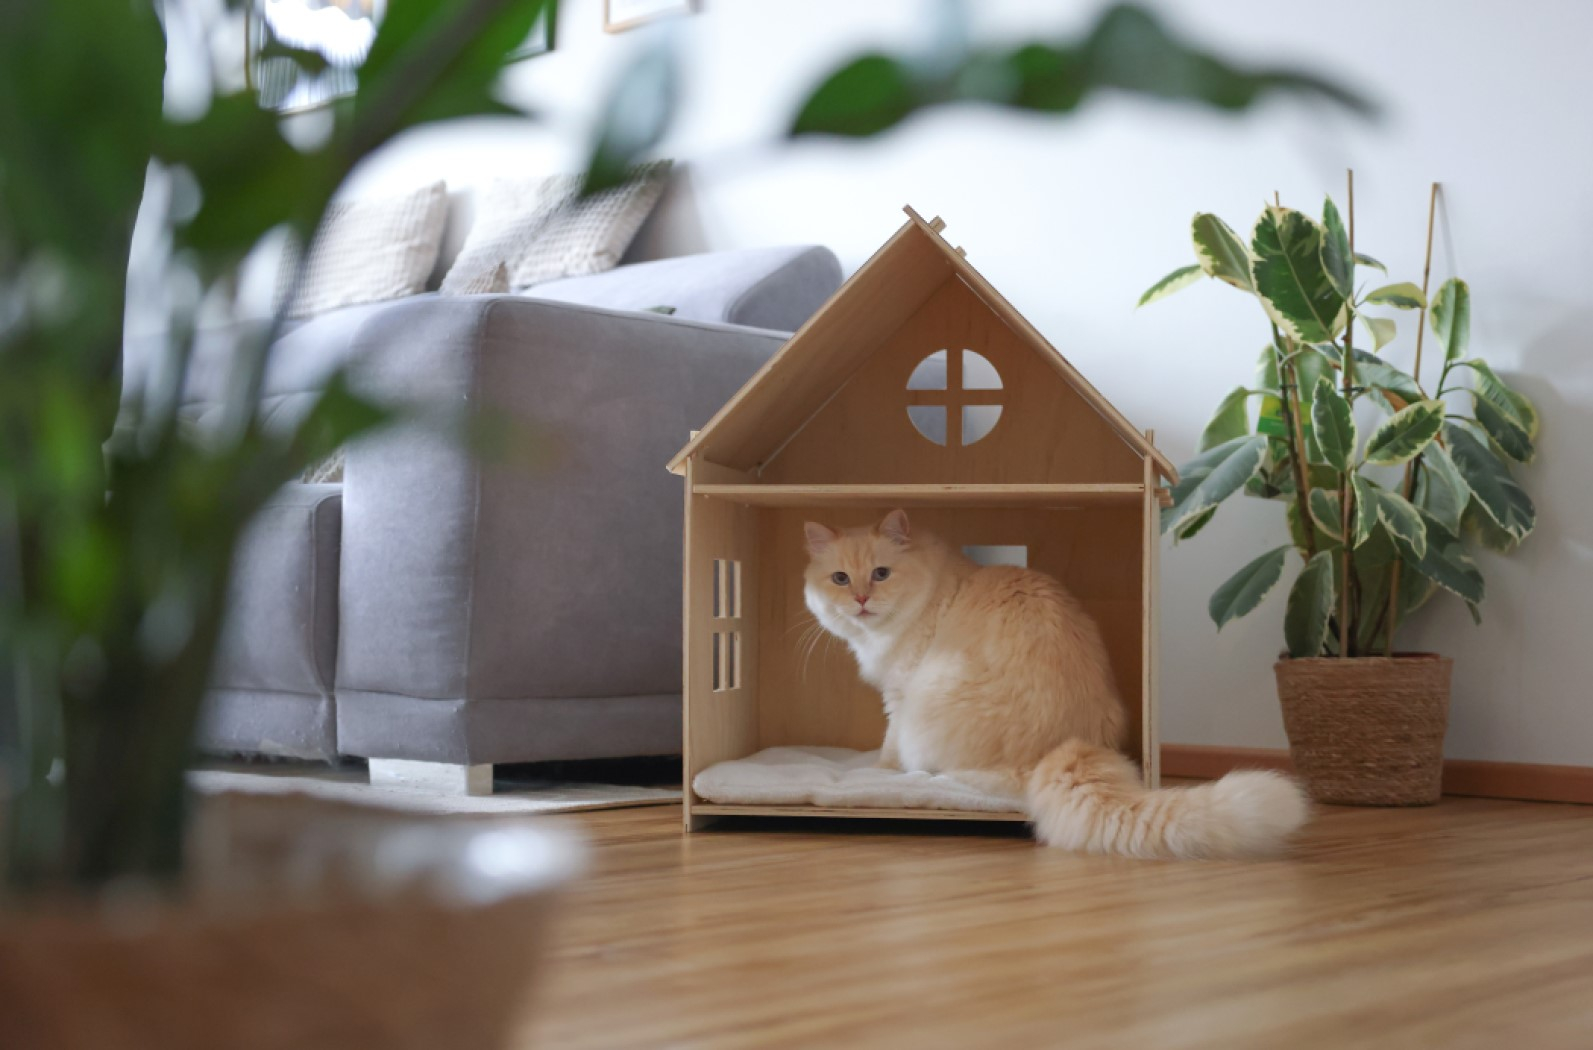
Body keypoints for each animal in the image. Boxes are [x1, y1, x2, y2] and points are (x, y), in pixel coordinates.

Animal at [802, 509, 1312, 860]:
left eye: (881, 574)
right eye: (840, 579)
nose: (861, 600)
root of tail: (1069, 745)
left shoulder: (899, 693)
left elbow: (887, 747)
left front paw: (877, 770)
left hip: (927, 709)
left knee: (949, 774)